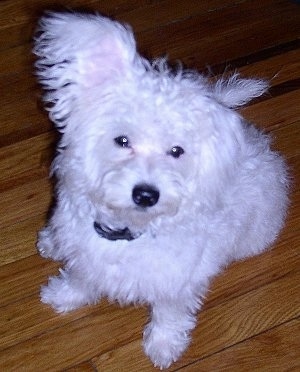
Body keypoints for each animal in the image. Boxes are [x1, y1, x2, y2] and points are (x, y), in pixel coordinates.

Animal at [34, 11, 290, 370]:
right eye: (122, 140)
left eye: (177, 151)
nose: (146, 194)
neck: (128, 231)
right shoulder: (85, 254)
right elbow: (81, 277)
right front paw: (64, 295)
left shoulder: (179, 280)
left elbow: (170, 314)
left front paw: (164, 346)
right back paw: (50, 242)